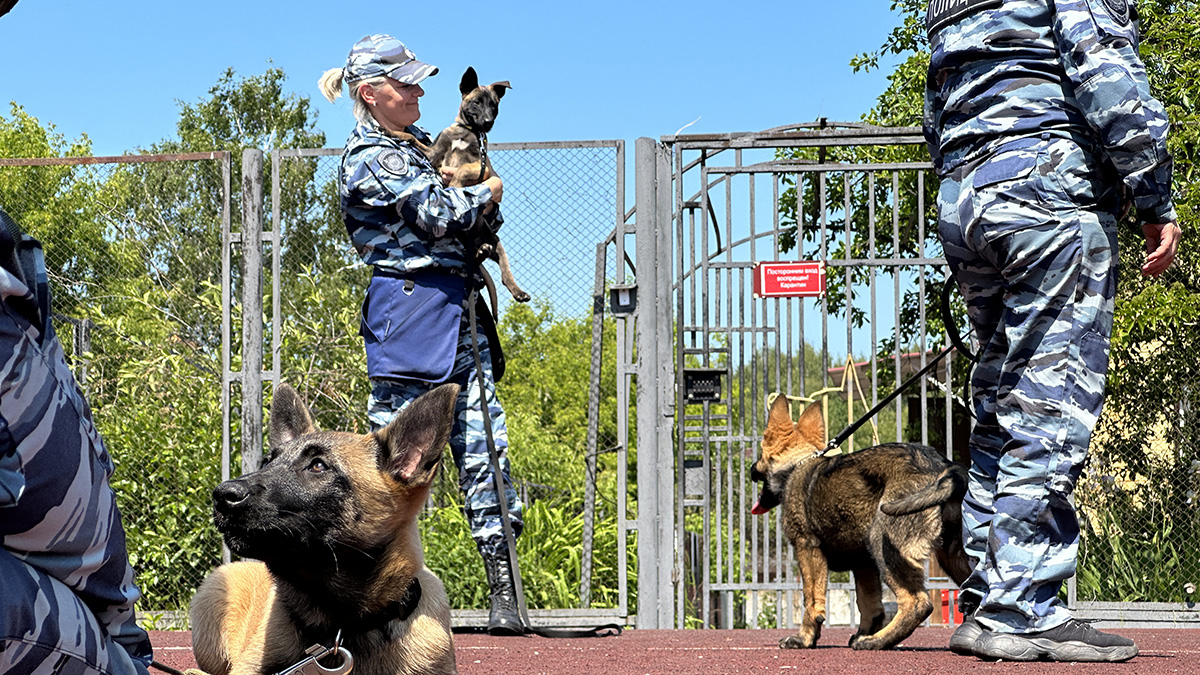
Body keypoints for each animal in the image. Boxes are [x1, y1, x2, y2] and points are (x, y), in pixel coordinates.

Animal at [427, 65, 530, 302]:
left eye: (494, 105)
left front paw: (455, 184)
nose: (488, 123)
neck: (467, 130)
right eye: (476, 102)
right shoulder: (434, 154)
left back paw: (517, 290)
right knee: (472, 260)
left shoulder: (484, 168)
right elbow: (410, 138)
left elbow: (463, 169)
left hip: (495, 241)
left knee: (503, 272)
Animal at [748, 396, 974, 648]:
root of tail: (946, 468)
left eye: (760, 452)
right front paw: (862, 630)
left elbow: (811, 600)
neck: (796, 464)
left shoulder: (807, 548)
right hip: (953, 557)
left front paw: (804, 638)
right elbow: (869, 603)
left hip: (883, 543)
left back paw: (876, 641)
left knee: (917, 602)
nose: (750, 470)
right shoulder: (863, 563)